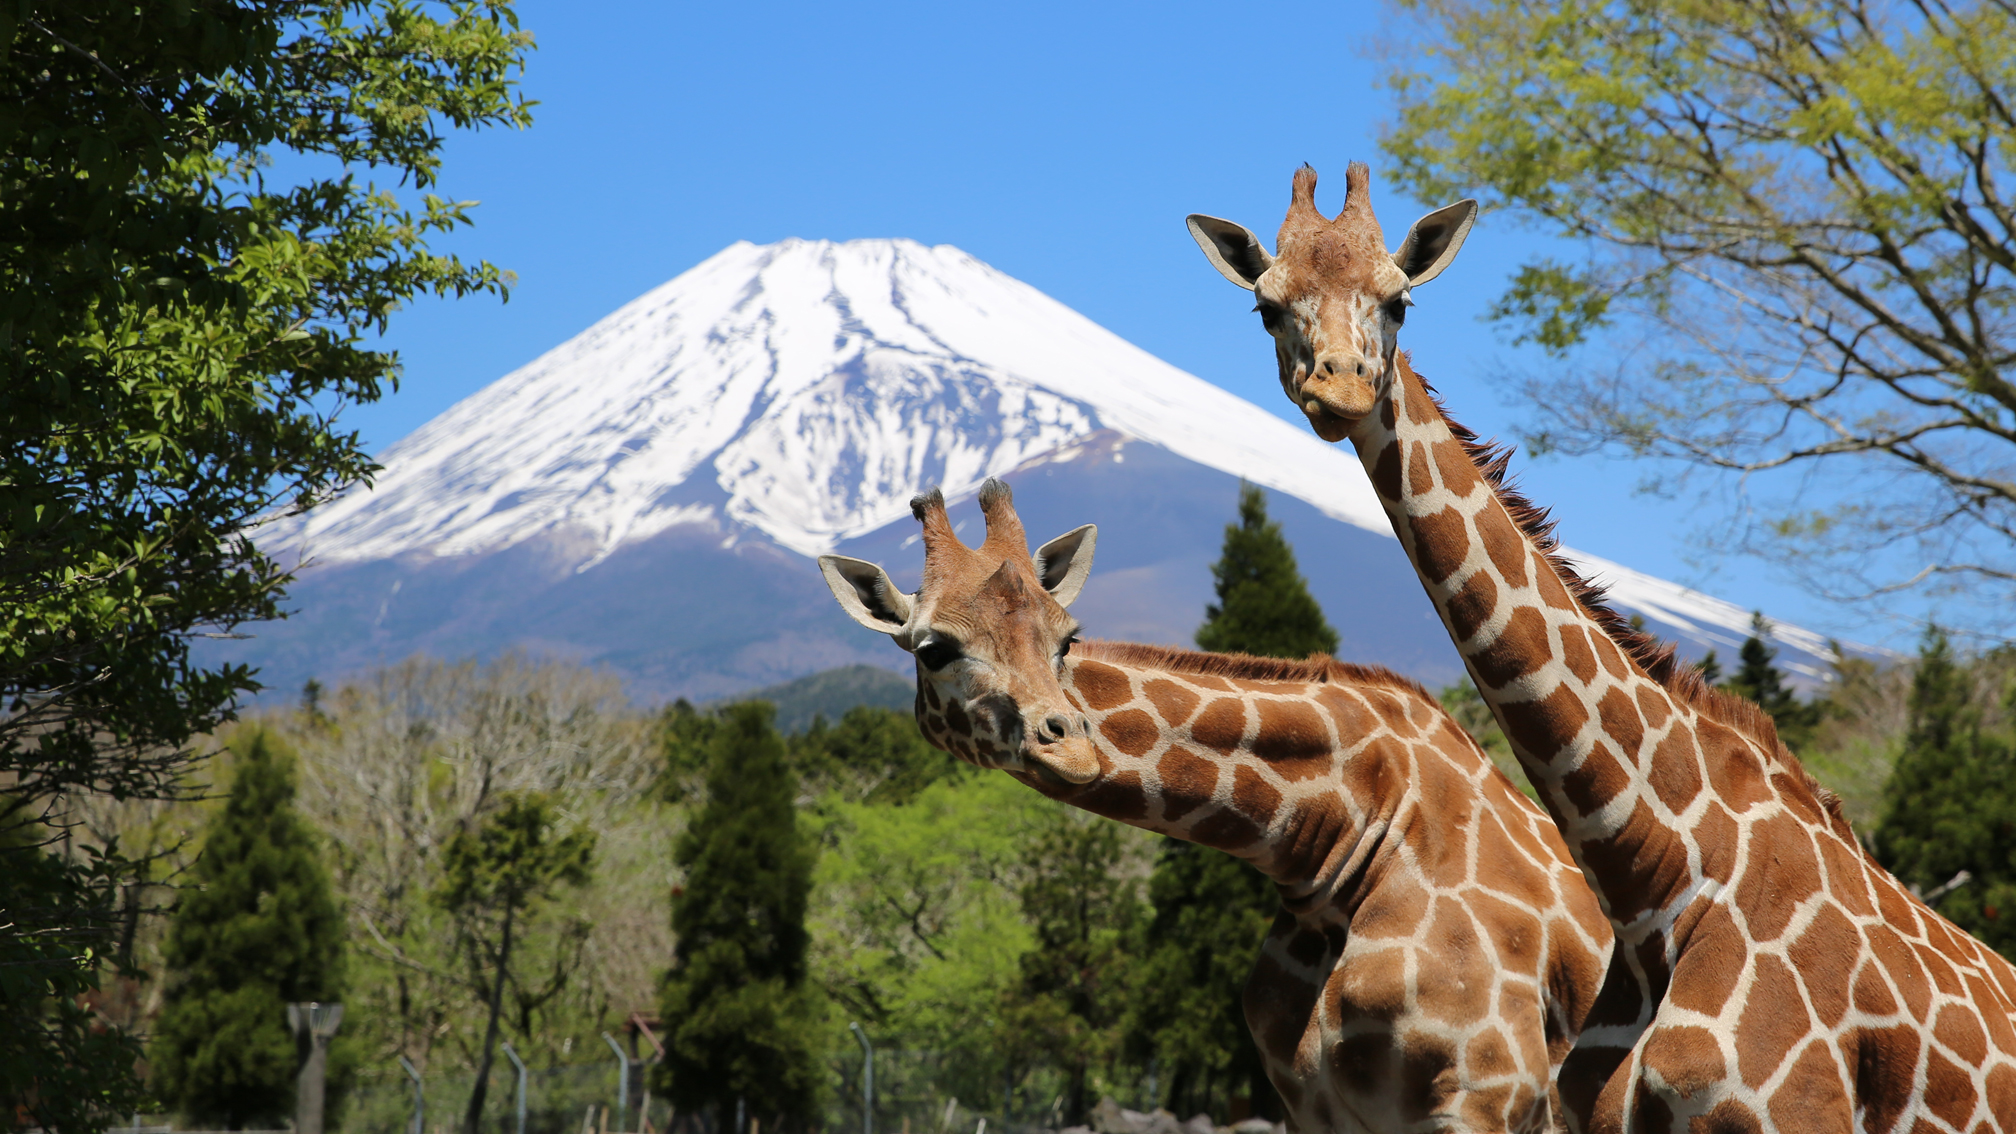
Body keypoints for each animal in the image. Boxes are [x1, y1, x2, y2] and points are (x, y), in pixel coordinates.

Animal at [810, 474, 1612, 1129]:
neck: (1347, 840)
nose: (1070, 746)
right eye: (934, 648)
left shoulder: (1484, 1095)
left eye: (1067, 637)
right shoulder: (1313, 1106)